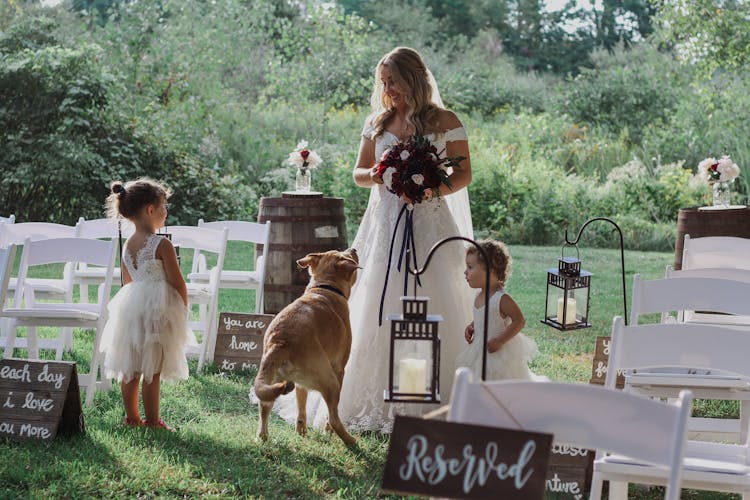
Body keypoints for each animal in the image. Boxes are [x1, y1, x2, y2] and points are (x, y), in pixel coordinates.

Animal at [256, 247, 362, 446]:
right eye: (345, 254)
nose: (353, 248)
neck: (324, 287)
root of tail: (280, 341)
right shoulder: (339, 369)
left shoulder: (300, 384)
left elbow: (301, 407)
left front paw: (301, 431)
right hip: (331, 382)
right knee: (333, 418)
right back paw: (349, 440)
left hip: (272, 381)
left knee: (264, 408)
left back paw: (263, 437)